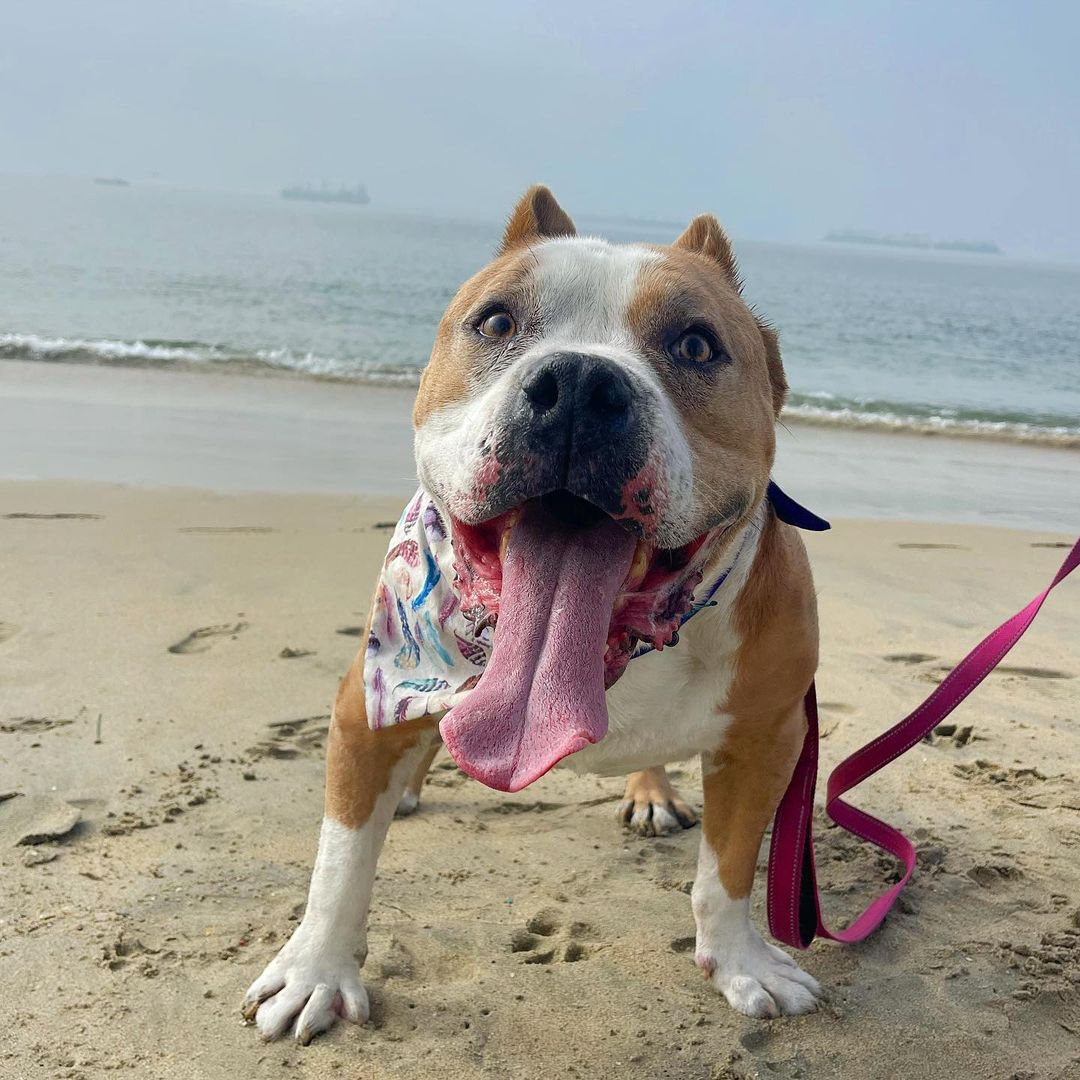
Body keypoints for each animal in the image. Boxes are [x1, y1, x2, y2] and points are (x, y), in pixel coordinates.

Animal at [243, 187, 816, 1045]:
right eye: (497, 322)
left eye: (695, 344)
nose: (578, 382)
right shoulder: (366, 702)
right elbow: (340, 864)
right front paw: (316, 970)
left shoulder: (766, 738)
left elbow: (730, 869)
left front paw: (742, 962)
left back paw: (650, 789)